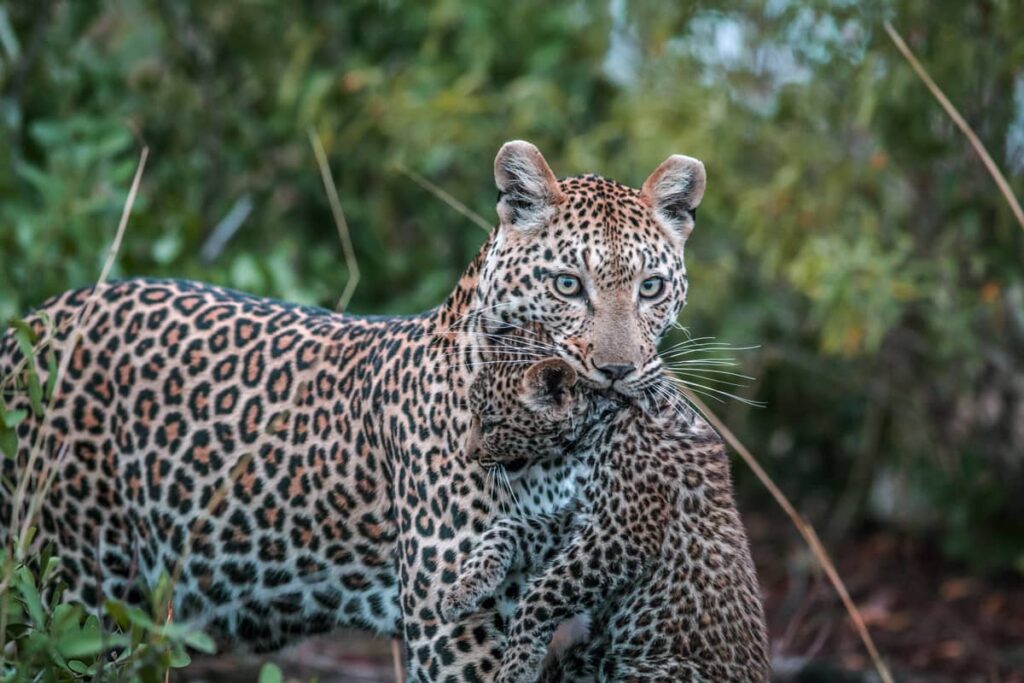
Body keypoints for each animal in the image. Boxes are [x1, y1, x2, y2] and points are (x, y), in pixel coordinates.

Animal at [0, 140, 709, 681]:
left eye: (650, 288)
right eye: (568, 285)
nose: (617, 371)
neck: (561, 447)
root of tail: (27, 324)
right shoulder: (455, 629)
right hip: (80, 580)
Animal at [440, 354, 769, 683]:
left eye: (490, 424)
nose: (469, 454)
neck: (605, 420)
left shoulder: (623, 533)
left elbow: (542, 593)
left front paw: (517, 666)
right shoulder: (580, 516)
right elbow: (507, 529)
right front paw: (464, 589)